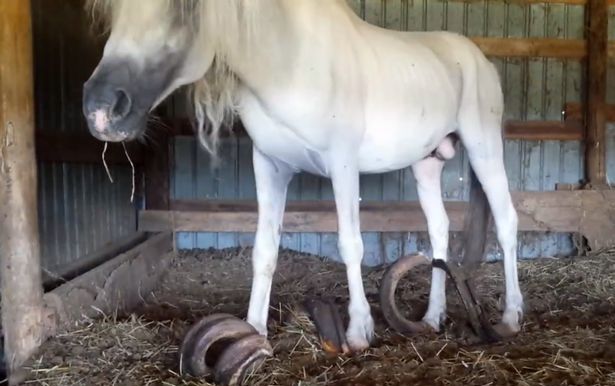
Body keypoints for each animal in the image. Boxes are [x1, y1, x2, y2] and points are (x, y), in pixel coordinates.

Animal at [82, 0, 524, 350]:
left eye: (184, 7)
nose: (101, 109)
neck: (292, 64)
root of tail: (479, 59)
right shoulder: (269, 165)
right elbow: (265, 249)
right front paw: (253, 329)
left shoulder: (343, 165)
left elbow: (350, 244)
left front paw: (359, 332)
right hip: (427, 164)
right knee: (439, 230)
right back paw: (432, 318)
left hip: (484, 148)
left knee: (506, 222)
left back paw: (511, 317)